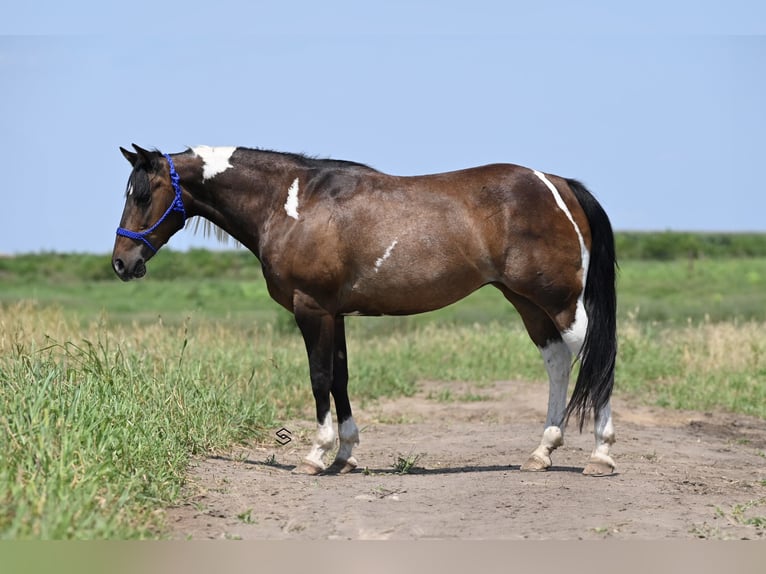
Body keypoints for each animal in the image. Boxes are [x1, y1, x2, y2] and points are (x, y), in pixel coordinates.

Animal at [112, 144, 616, 476]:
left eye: (143, 194)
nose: (122, 262)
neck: (292, 203)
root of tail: (559, 185)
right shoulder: (334, 314)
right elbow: (340, 377)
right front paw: (345, 454)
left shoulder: (311, 309)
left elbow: (318, 378)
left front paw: (315, 456)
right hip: (527, 302)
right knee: (556, 361)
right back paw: (542, 452)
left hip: (559, 301)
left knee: (595, 357)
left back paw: (601, 454)